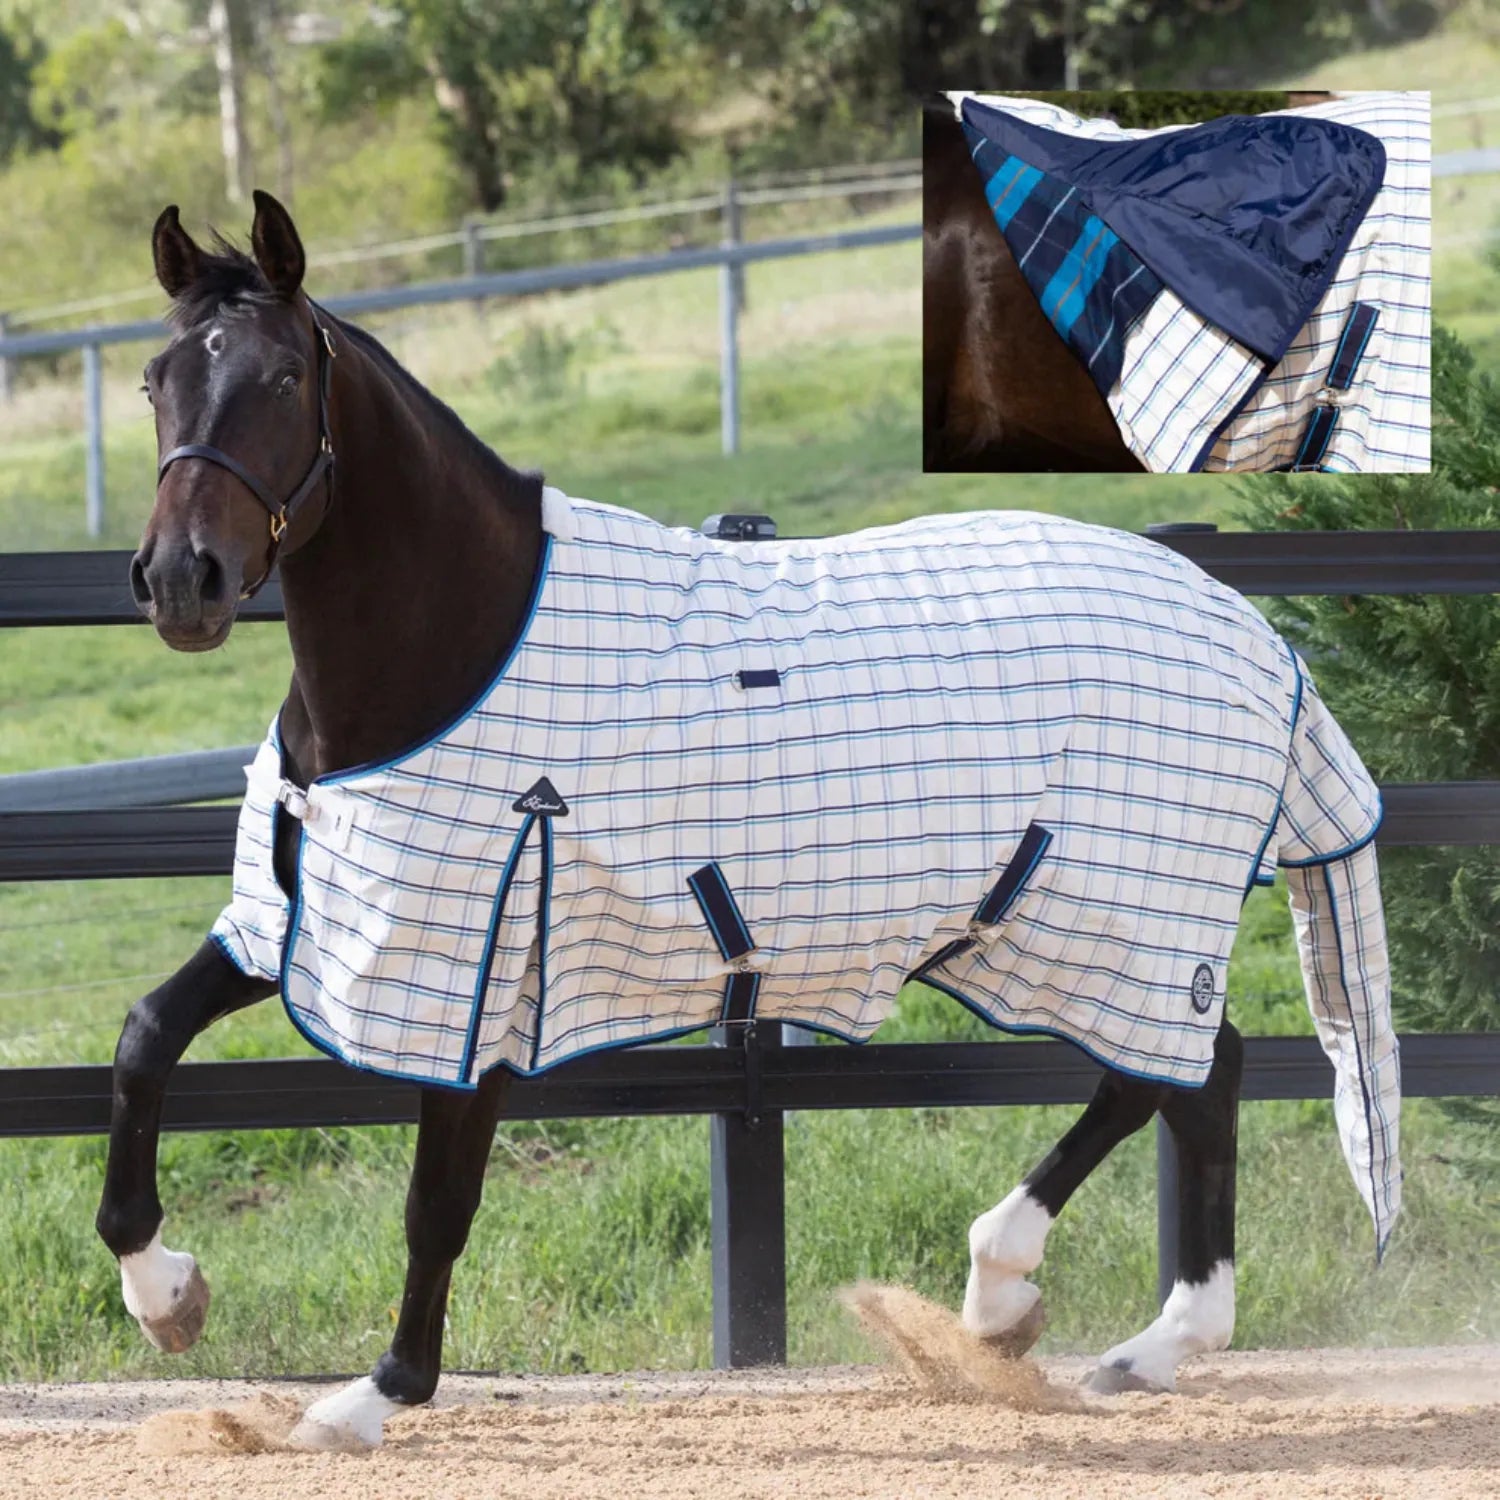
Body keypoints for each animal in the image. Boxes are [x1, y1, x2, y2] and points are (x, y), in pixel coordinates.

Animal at [100, 190, 1401, 1450]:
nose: (180, 580)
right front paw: (169, 1297)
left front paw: (371, 1398)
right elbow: (145, 1036)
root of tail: (1250, 630)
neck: (455, 648)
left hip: (1115, 922)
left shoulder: (475, 970)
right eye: (157, 380)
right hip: (1054, 927)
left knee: (1181, 1078)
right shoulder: (299, 927)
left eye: (281, 377)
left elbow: (438, 1202)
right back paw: (1088, 1326)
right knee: (1187, 1077)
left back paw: (1059, 1310)